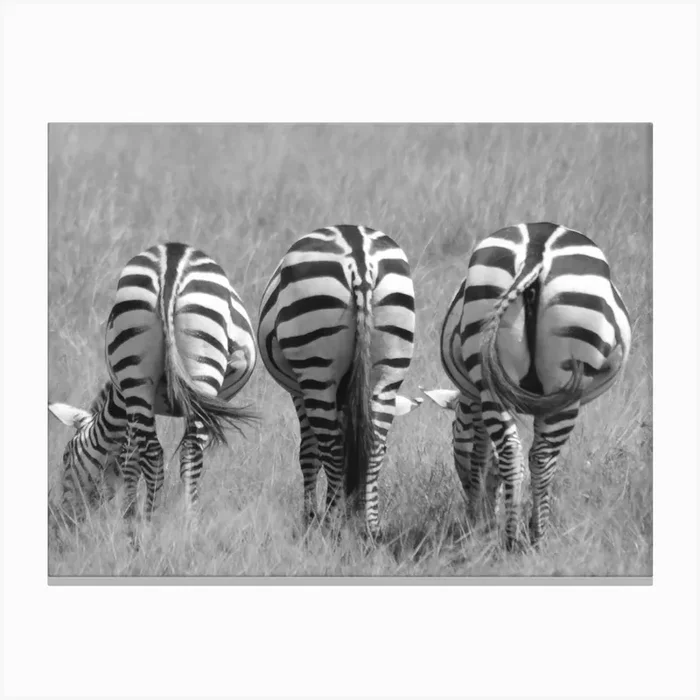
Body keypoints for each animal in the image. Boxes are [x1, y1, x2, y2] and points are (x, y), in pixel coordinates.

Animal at [49, 242, 257, 521]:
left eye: (65, 456)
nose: (63, 519)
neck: (115, 403)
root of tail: (170, 267)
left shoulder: (128, 407)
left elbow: (130, 459)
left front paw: (131, 514)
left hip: (137, 374)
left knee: (155, 453)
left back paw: (150, 524)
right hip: (197, 371)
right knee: (185, 452)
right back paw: (174, 523)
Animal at [257, 224, 419, 540]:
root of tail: (359, 256)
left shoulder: (299, 391)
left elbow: (309, 453)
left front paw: (310, 518)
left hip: (316, 369)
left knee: (331, 448)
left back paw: (331, 525)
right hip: (389, 369)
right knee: (374, 445)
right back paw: (370, 527)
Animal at [420, 222, 631, 549]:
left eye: (454, 430)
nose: (472, 515)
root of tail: (536, 250)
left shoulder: (477, 397)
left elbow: (484, 458)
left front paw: (486, 522)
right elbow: (486, 457)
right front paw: (486, 523)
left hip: (490, 367)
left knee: (513, 452)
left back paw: (511, 537)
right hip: (565, 384)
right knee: (541, 458)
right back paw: (534, 539)